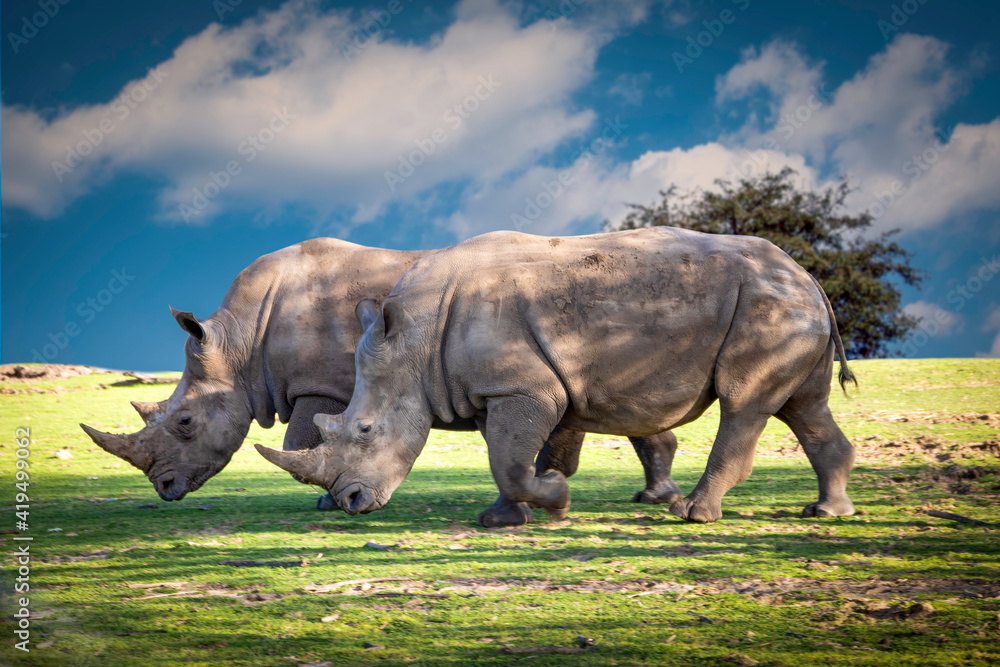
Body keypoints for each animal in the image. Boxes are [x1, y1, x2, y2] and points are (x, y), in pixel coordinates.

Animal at [80, 237, 682, 527]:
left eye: (184, 422)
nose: (165, 488)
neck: (239, 344)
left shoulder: (318, 386)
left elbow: (301, 439)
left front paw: (326, 502)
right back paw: (653, 496)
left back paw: (651, 497)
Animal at [257, 227, 859, 524]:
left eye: (364, 431)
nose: (352, 503)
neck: (415, 341)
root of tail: (806, 273)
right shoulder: (493, 388)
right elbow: (505, 457)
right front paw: (503, 518)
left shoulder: (524, 386)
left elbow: (511, 460)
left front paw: (556, 497)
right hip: (784, 307)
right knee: (805, 406)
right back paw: (825, 512)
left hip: (766, 306)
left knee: (744, 404)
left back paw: (693, 516)